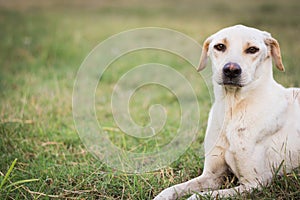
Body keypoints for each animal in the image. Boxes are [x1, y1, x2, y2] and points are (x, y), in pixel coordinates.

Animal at [155, 24, 300, 198]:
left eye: (252, 49)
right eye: (220, 46)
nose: (231, 70)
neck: (232, 108)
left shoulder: (254, 183)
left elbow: (199, 196)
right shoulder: (212, 175)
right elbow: (172, 189)